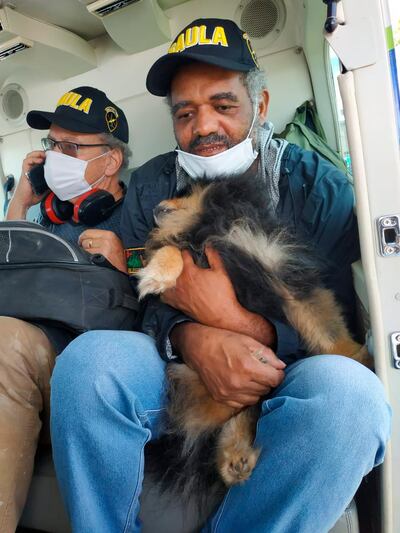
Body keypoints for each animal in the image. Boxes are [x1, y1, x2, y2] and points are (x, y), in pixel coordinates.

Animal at [136, 175, 368, 490]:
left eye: (182, 193)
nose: (155, 206)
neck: (210, 224)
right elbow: (171, 250)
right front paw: (155, 275)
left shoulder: (279, 274)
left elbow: (324, 325)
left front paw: (355, 355)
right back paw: (234, 460)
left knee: (246, 414)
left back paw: (237, 457)